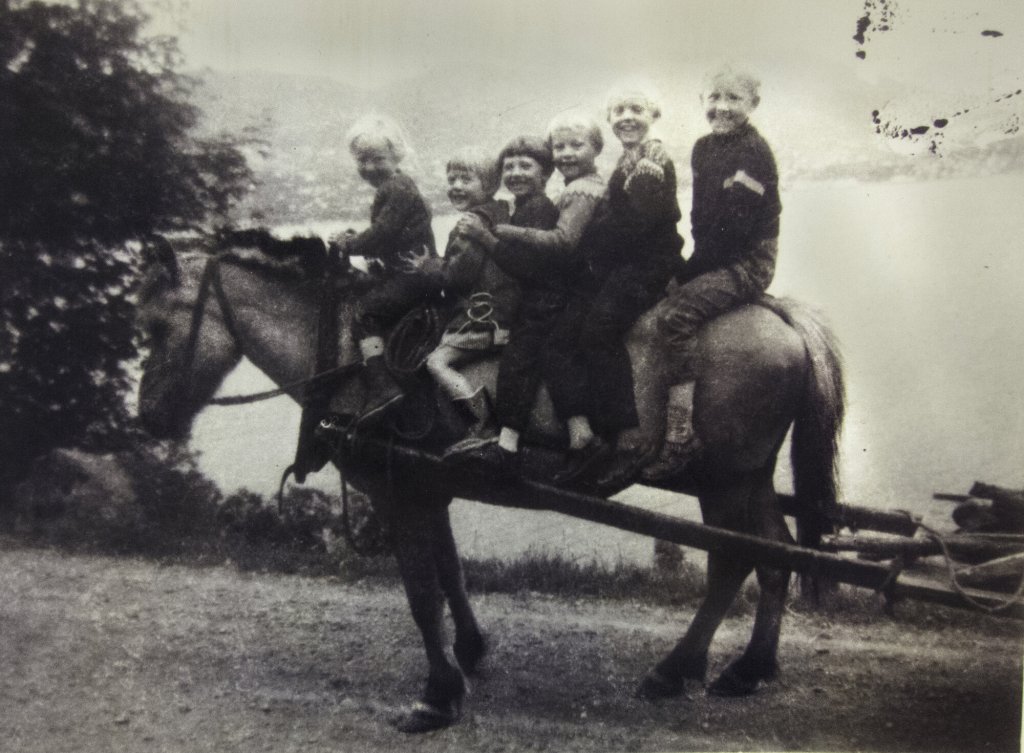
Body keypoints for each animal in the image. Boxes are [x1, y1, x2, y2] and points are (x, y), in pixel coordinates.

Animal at [136, 232, 839, 733]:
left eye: (155, 327)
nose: (147, 419)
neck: (353, 356)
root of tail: (781, 318)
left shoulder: (403, 493)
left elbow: (422, 594)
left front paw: (437, 696)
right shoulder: (433, 490)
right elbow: (450, 573)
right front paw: (471, 652)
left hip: (727, 481)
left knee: (736, 561)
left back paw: (681, 670)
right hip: (744, 480)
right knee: (771, 556)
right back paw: (745, 668)